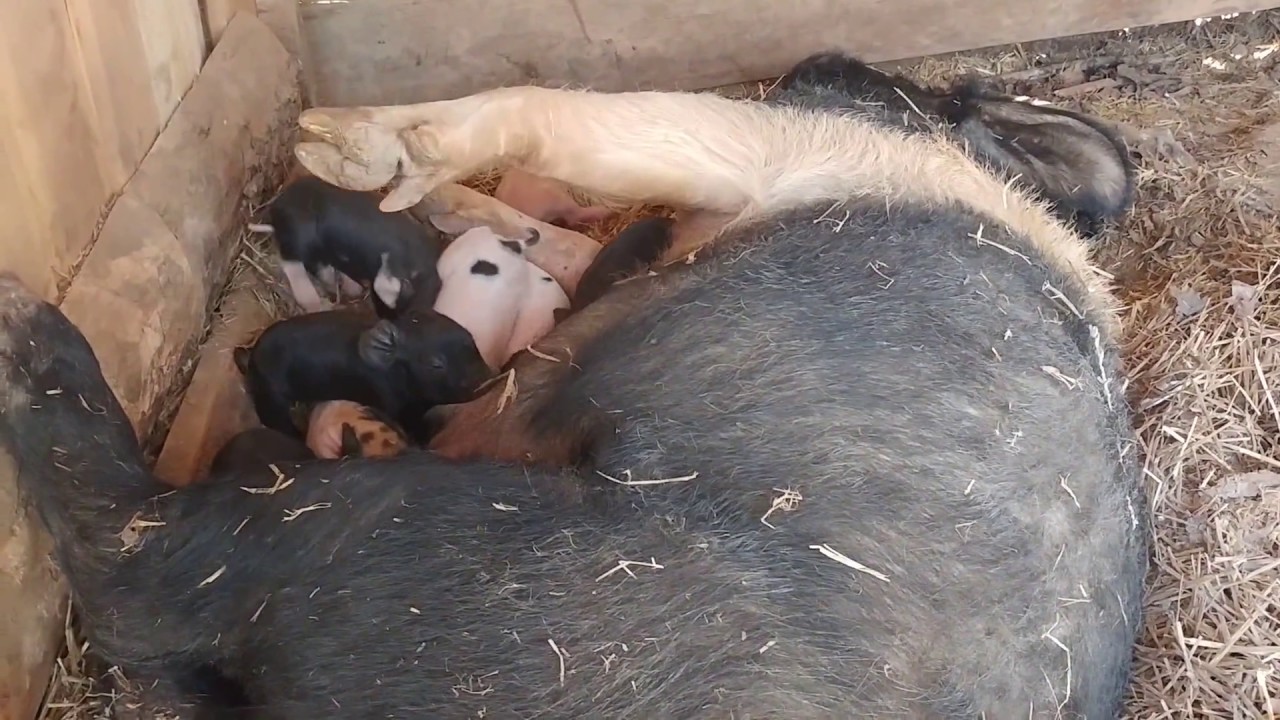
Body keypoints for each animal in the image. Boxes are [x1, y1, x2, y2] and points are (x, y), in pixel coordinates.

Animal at [233, 308, 492, 443]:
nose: (487, 378)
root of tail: (251, 358)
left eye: (471, 339)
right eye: (435, 364)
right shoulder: (386, 400)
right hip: (270, 397)